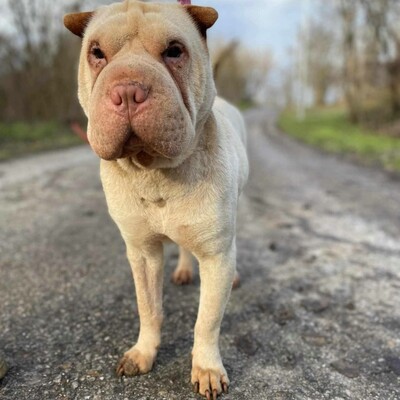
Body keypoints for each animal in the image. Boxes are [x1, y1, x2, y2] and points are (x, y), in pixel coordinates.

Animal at [64, 2, 248, 396]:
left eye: (174, 51)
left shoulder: (216, 255)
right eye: (96, 53)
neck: (155, 170)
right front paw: (143, 352)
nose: (128, 91)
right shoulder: (143, 252)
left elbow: (207, 319)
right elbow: (148, 307)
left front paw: (207, 368)